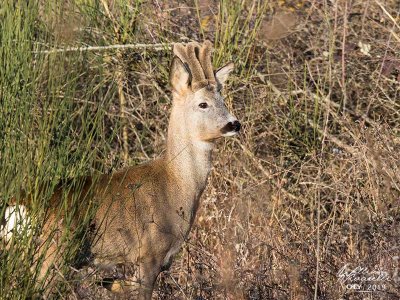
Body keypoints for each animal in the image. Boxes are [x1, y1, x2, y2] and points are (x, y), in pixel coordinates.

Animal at [0, 40, 241, 300]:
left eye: (223, 100)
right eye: (203, 103)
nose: (234, 124)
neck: (177, 184)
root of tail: (18, 206)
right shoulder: (150, 252)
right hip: (51, 254)